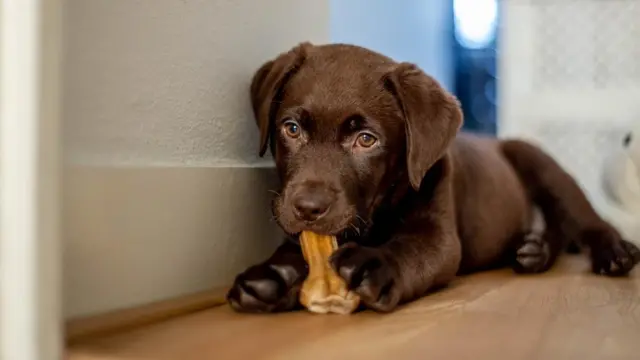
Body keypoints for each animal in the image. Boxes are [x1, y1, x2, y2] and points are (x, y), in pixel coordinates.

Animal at [226, 42, 640, 312]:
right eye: (292, 129)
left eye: (366, 140)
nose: (308, 208)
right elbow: (294, 251)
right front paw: (274, 275)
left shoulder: (439, 237)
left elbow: (410, 250)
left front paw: (374, 263)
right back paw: (534, 249)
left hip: (541, 164)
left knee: (586, 219)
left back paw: (614, 252)